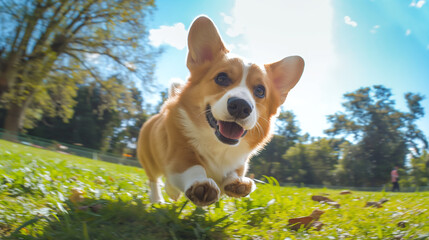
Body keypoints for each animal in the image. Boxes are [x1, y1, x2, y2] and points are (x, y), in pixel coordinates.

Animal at [138, 15, 304, 206]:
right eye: (222, 78)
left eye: (260, 91)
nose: (241, 106)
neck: (218, 145)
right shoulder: (178, 154)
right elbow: (193, 167)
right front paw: (200, 184)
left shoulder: (239, 163)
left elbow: (233, 173)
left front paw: (237, 182)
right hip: (150, 161)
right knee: (154, 180)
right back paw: (157, 199)